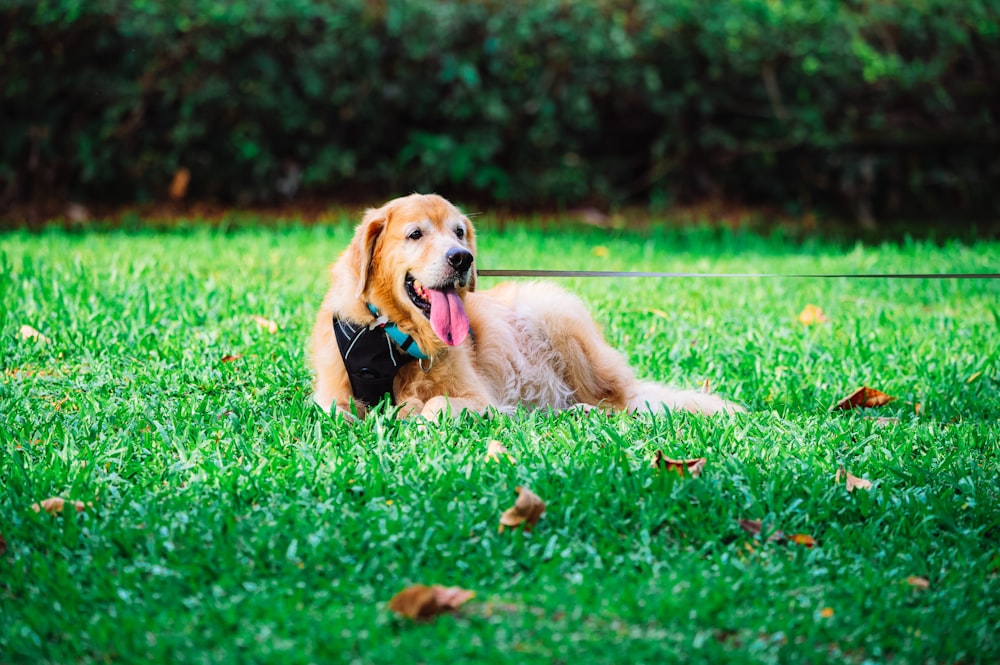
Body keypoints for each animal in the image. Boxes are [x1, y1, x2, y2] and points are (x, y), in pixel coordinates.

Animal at [310, 195, 744, 418]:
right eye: (415, 234)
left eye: (459, 232)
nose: (462, 258)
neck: (391, 336)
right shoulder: (329, 393)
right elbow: (335, 410)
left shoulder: (477, 397)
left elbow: (433, 405)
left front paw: (411, 412)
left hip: (558, 319)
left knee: (620, 401)